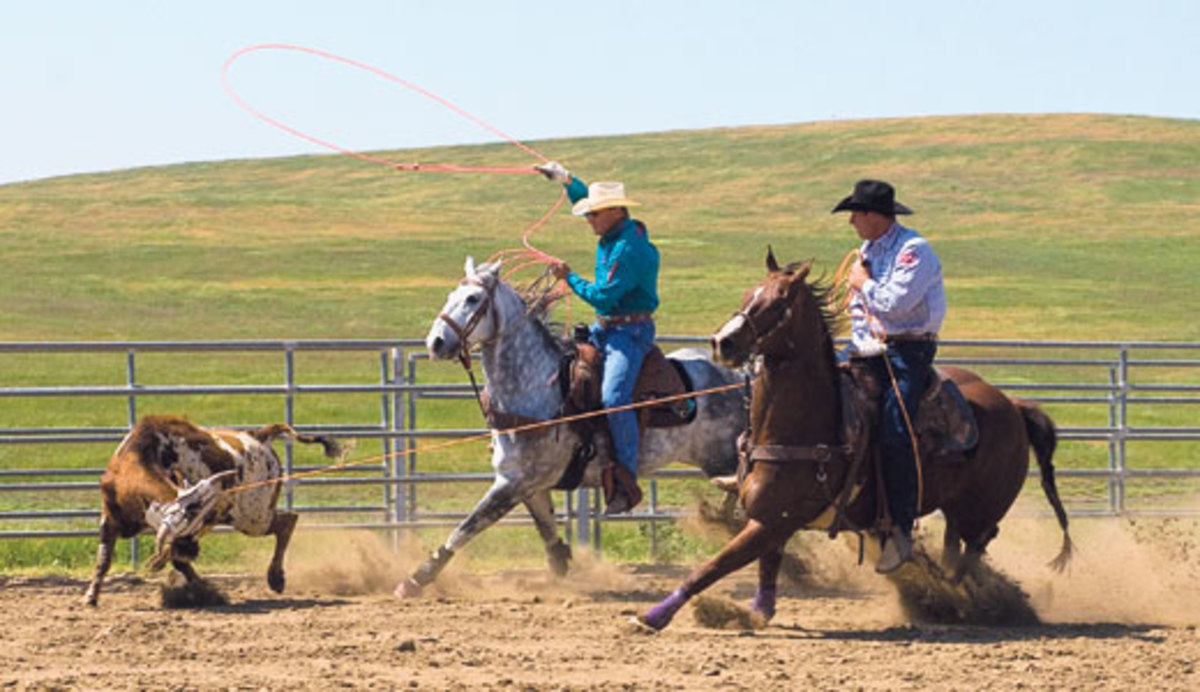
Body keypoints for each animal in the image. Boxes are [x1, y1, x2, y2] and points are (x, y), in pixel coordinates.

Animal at [396, 256, 748, 597]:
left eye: (472, 298)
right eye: (450, 295)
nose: (435, 343)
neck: (537, 386)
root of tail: (742, 374)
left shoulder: (512, 482)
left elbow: (467, 527)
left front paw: (416, 579)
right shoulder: (529, 483)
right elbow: (545, 526)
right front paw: (560, 563)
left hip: (724, 459)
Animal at [643, 250, 1075, 628]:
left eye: (779, 302)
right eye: (749, 293)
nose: (723, 342)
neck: (807, 427)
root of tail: (1013, 405)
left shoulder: (774, 520)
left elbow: (714, 566)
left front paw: (654, 616)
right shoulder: (772, 518)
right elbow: (766, 566)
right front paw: (755, 613)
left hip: (980, 510)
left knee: (975, 549)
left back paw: (964, 598)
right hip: (957, 507)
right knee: (957, 548)